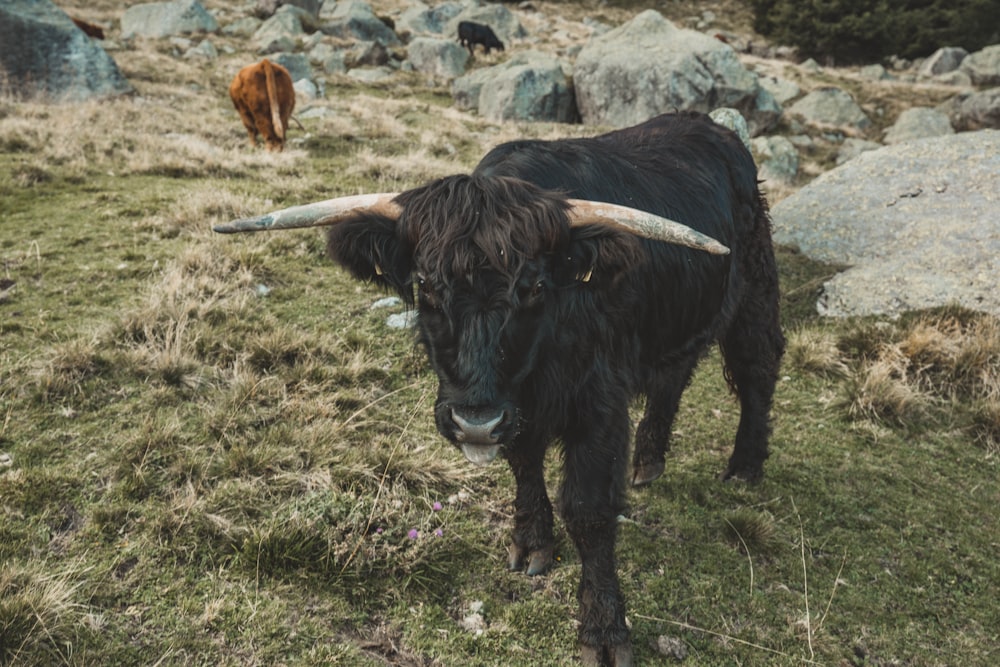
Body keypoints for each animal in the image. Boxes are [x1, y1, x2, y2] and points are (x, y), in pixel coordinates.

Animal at [215, 112, 784, 664]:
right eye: (425, 285)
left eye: (533, 287)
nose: (474, 422)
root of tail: (715, 128)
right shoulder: (515, 409)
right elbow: (524, 465)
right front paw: (533, 544)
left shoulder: (598, 404)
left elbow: (589, 510)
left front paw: (603, 629)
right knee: (673, 378)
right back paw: (648, 462)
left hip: (755, 292)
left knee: (757, 369)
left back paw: (744, 468)